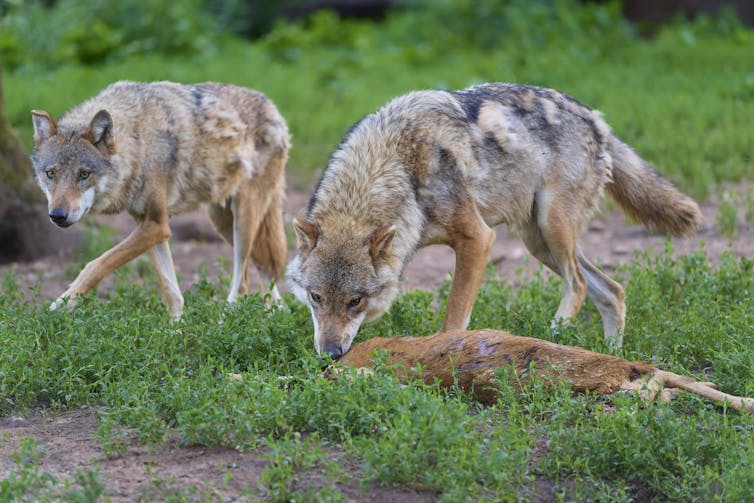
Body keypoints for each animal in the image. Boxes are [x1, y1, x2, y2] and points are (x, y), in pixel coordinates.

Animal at [31, 80, 289, 319]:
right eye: (50, 174)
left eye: (84, 174)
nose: (57, 215)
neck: (139, 142)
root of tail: (273, 107)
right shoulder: (149, 226)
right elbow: (172, 293)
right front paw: (175, 332)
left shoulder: (156, 225)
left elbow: (95, 264)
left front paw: (60, 305)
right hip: (223, 222)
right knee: (263, 270)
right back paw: (275, 314)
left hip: (242, 220)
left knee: (244, 282)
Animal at [287, 82, 702, 357]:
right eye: (316, 297)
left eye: (356, 301)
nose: (329, 354)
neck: (398, 162)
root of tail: (595, 119)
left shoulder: (478, 239)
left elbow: (454, 317)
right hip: (538, 243)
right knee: (612, 290)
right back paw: (610, 354)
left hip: (552, 230)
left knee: (581, 283)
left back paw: (554, 334)